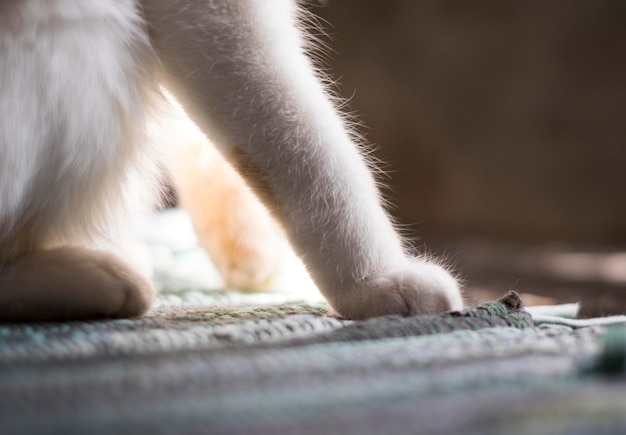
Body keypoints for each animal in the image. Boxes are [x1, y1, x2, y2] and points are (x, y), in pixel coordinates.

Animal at [0, 0, 460, 320]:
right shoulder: (218, 14)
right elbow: (313, 150)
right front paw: (373, 281)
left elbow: (217, 154)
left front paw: (252, 254)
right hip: (86, 33)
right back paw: (101, 277)